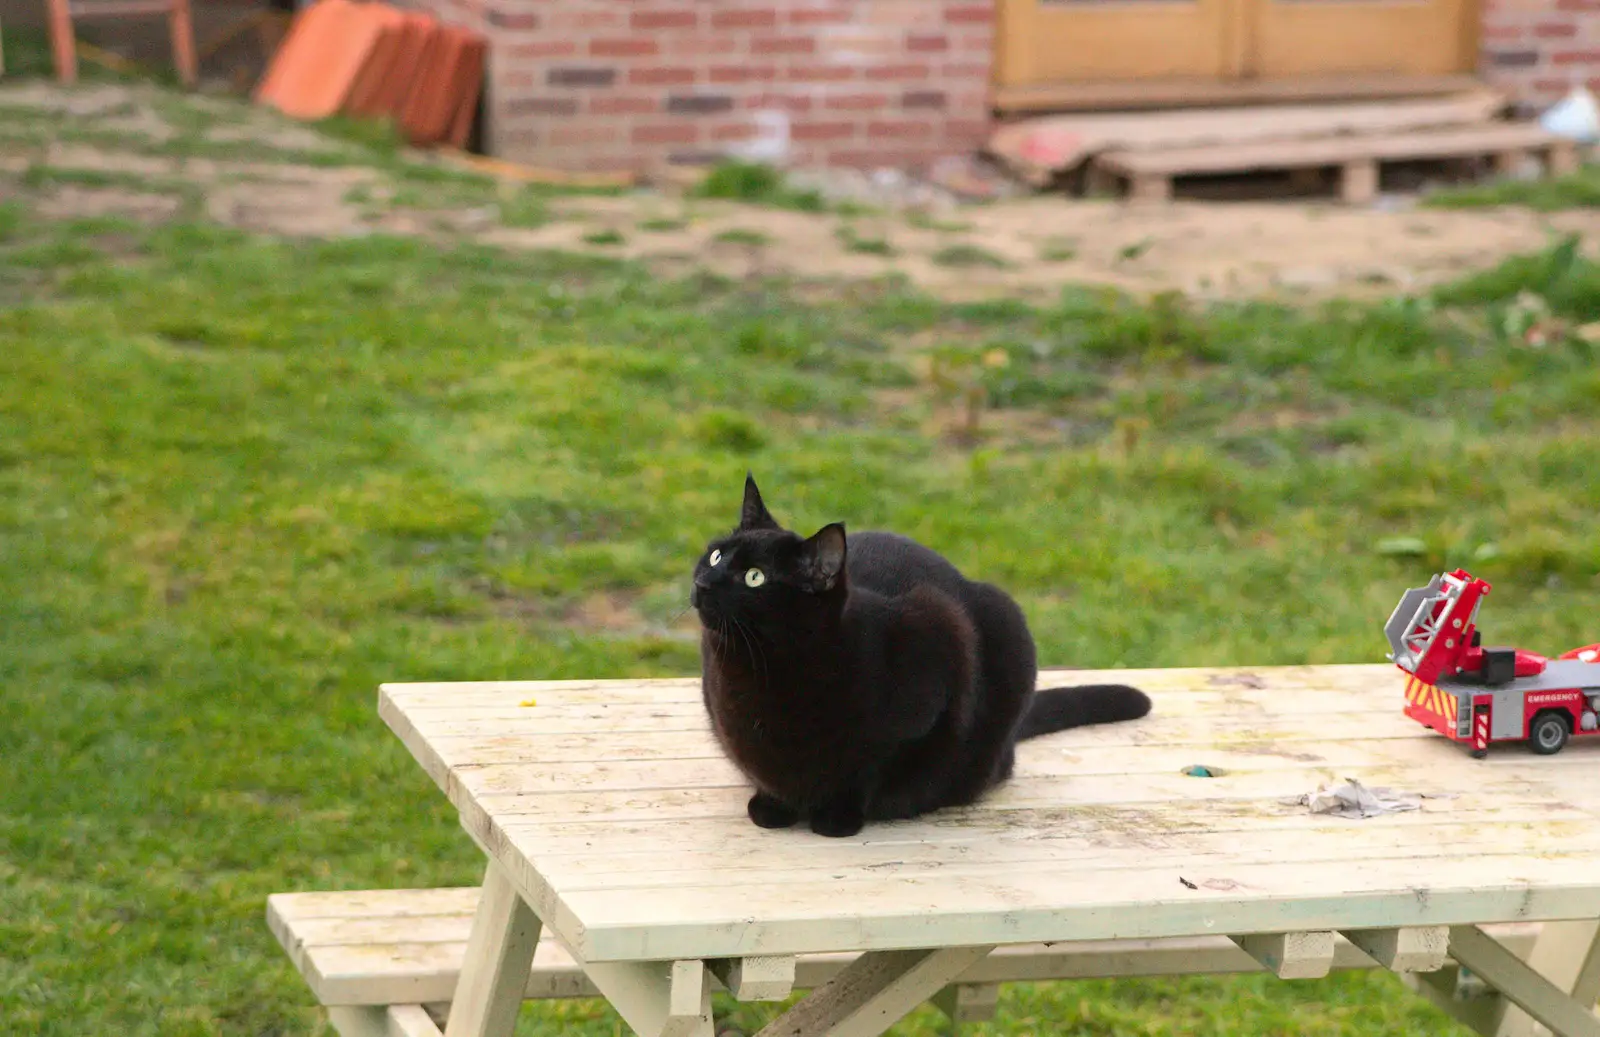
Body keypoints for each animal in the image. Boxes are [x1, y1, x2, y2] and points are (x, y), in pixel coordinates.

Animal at [688, 473, 1152, 838]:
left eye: (755, 577)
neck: (762, 673)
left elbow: (869, 768)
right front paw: (772, 806)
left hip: (1007, 620)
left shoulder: (936, 653)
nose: (704, 582)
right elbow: (765, 774)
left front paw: (837, 818)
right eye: (716, 554)